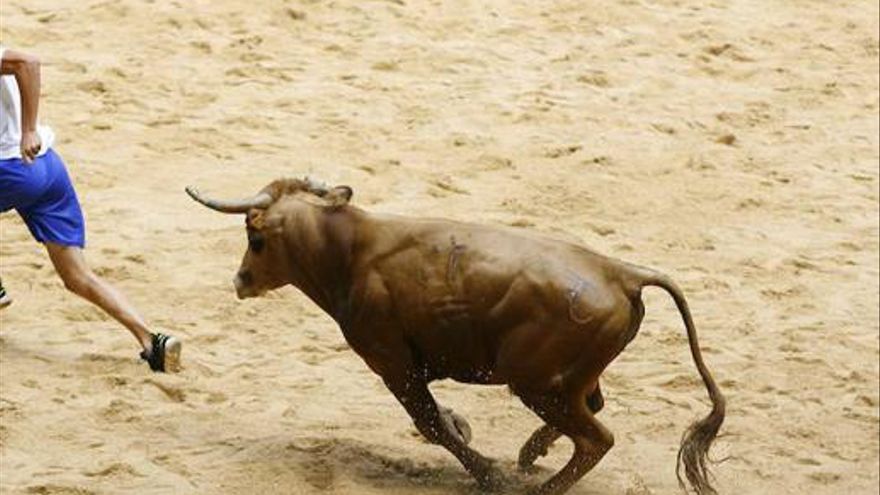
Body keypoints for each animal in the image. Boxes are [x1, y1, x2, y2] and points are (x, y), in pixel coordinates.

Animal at [187, 178, 728, 495]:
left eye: (254, 236)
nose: (240, 280)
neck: (351, 252)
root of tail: (620, 272)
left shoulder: (393, 364)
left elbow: (431, 425)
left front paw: (489, 473)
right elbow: (441, 422)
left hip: (537, 385)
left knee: (596, 437)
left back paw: (536, 484)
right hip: (566, 382)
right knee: (592, 410)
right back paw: (531, 454)